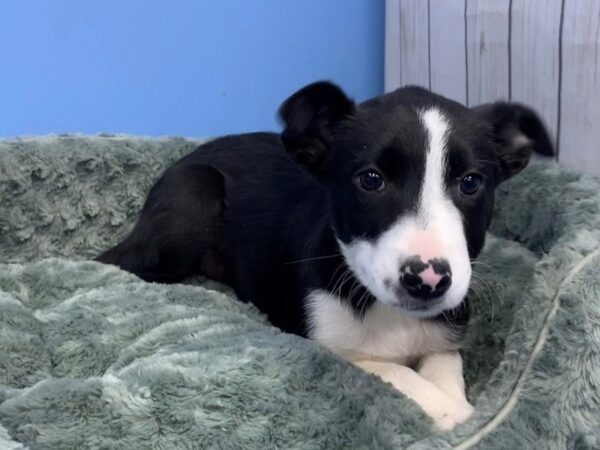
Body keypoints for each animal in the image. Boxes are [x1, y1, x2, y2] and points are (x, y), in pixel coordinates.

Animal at [98, 81, 552, 428]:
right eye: (370, 179)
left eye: (471, 183)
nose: (427, 280)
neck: (388, 314)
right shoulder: (327, 345)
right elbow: (394, 371)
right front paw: (455, 414)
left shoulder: (444, 334)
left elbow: (444, 368)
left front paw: (459, 405)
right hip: (194, 200)